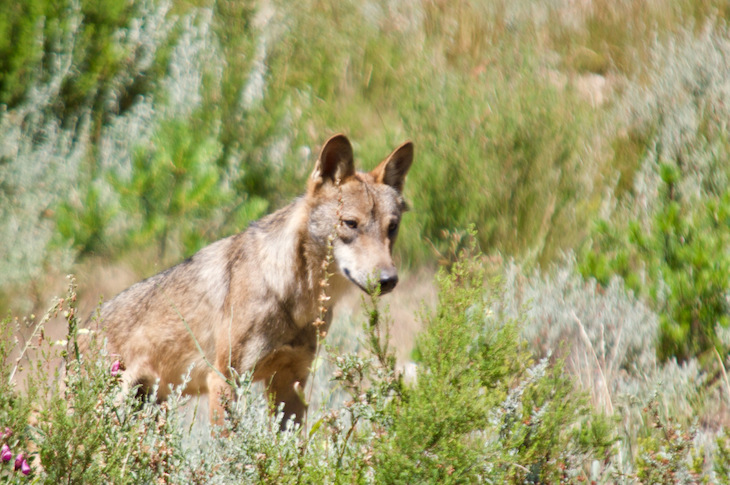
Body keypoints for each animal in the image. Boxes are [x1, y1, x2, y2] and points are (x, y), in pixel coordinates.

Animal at [95, 134, 414, 428]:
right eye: (350, 224)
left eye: (392, 227)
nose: (388, 280)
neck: (292, 298)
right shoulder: (225, 380)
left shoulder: (292, 381)